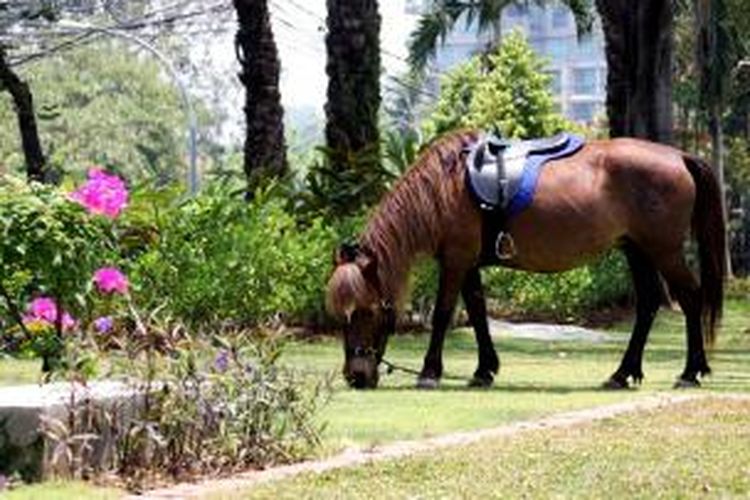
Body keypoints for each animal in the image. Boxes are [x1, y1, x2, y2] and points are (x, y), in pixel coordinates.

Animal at [326, 131, 724, 392]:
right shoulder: (468, 264)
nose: (355, 376)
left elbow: (442, 314)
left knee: (690, 298)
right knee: (649, 303)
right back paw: (622, 374)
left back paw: (690, 372)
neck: (445, 186)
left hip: (663, 250)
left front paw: (429, 372)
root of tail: (679, 157)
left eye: (366, 311)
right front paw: (484, 371)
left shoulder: (455, 260)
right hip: (637, 249)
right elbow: (478, 313)